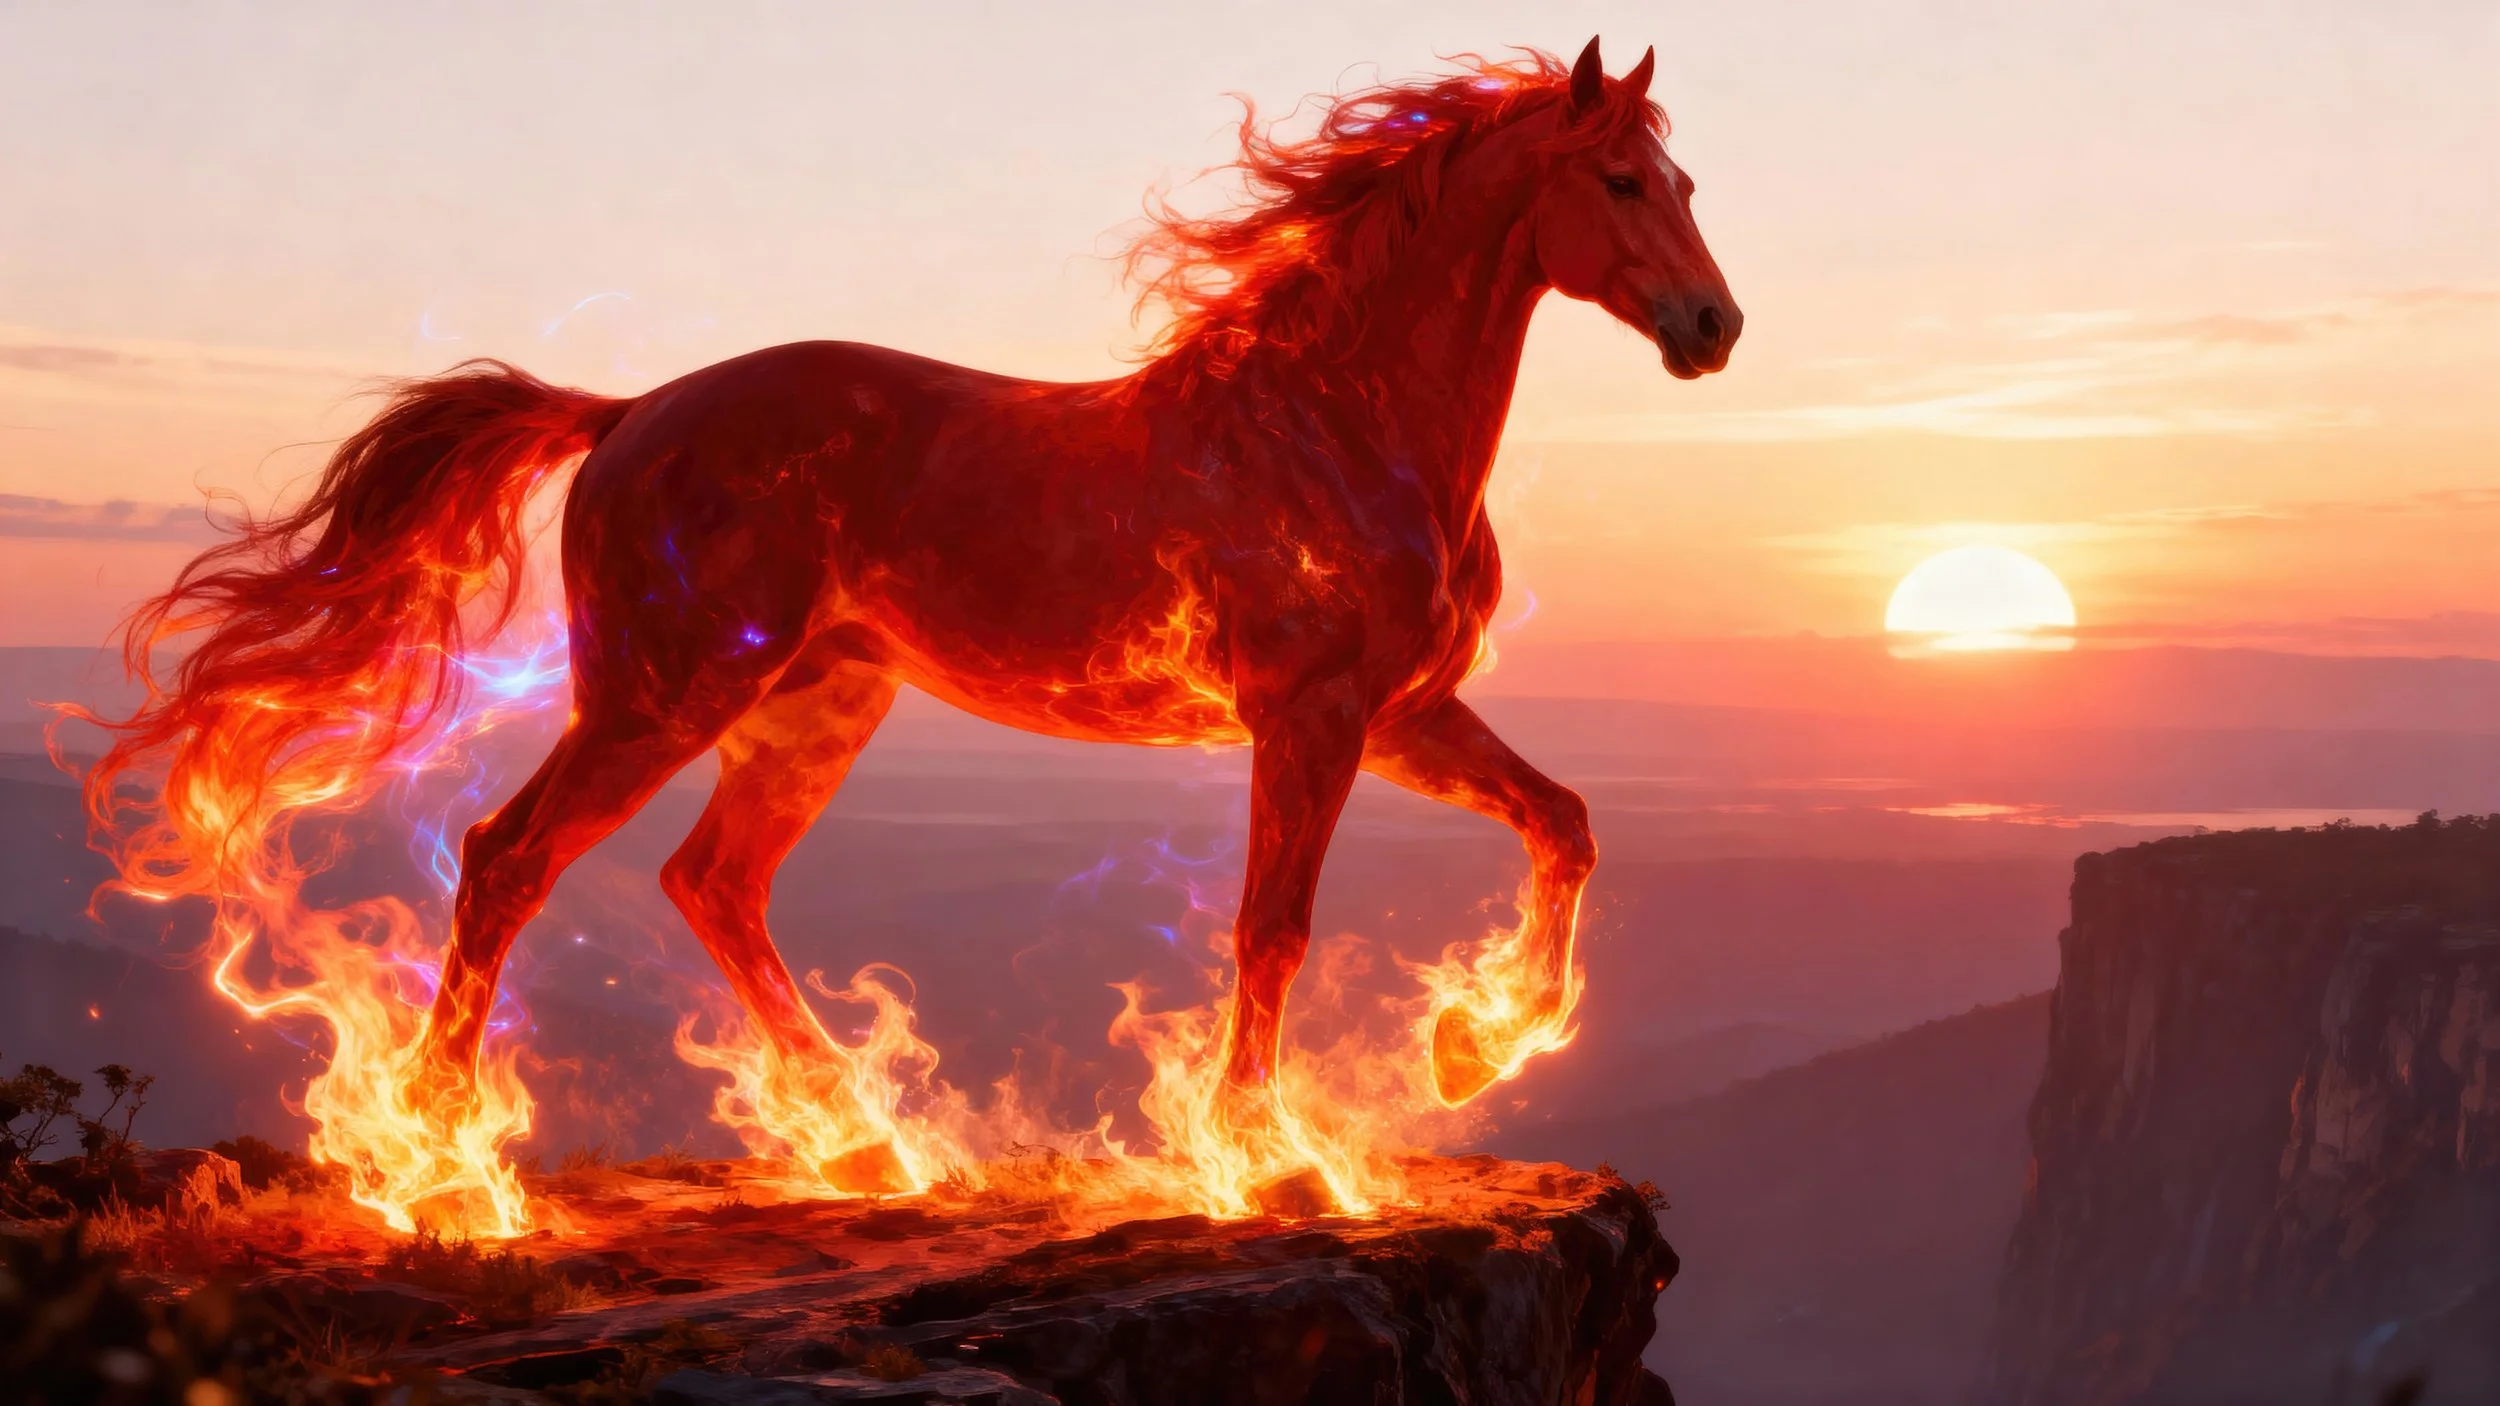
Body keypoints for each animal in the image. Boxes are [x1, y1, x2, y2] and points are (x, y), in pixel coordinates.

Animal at [82, 38, 1738, 1187]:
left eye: (1685, 183)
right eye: (1618, 182)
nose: (1715, 330)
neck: (1341, 420)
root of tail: (627, 416)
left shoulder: (1400, 715)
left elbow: (1565, 821)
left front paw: (1470, 1047)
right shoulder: (1310, 715)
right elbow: (1273, 927)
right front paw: (1271, 1158)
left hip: (815, 703)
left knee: (711, 883)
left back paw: (864, 1146)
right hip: (660, 695)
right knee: (508, 858)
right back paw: (438, 1160)